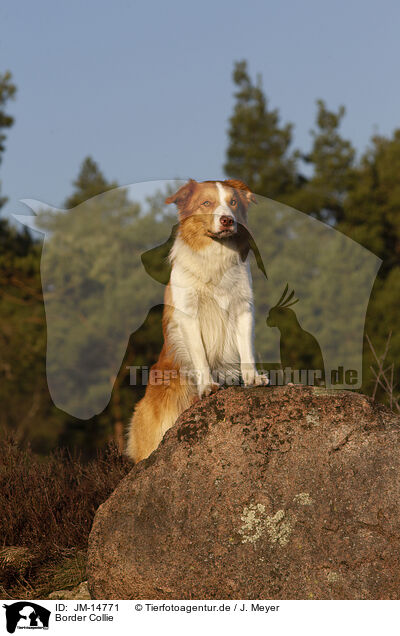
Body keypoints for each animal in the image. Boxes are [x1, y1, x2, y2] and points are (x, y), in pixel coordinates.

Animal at [126, 179, 268, 462]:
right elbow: (200, 355)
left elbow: (246, 349)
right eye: (206, 203)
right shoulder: (189, 314)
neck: (215, 254)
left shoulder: (242, 308)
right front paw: (207, 387)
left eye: (233, 202)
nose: (227, 220)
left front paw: (253, 378)